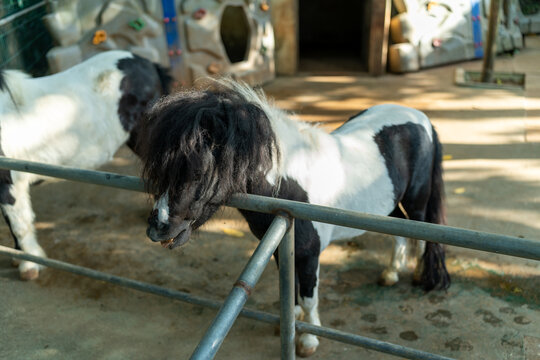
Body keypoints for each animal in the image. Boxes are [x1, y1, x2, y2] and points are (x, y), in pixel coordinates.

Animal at [137, 79, 450, 358]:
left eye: (199, 171)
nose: (158, 228)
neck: (288, 185)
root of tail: (421, 117)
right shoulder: (282, 248)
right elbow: (293, 288)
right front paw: (290, 322)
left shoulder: (310, 254)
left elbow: (309, 297)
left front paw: (309, 341)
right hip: (388, 205)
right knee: (399, 231)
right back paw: (391, 273)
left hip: (416, 200)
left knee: (419, 233)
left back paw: (418, 275)